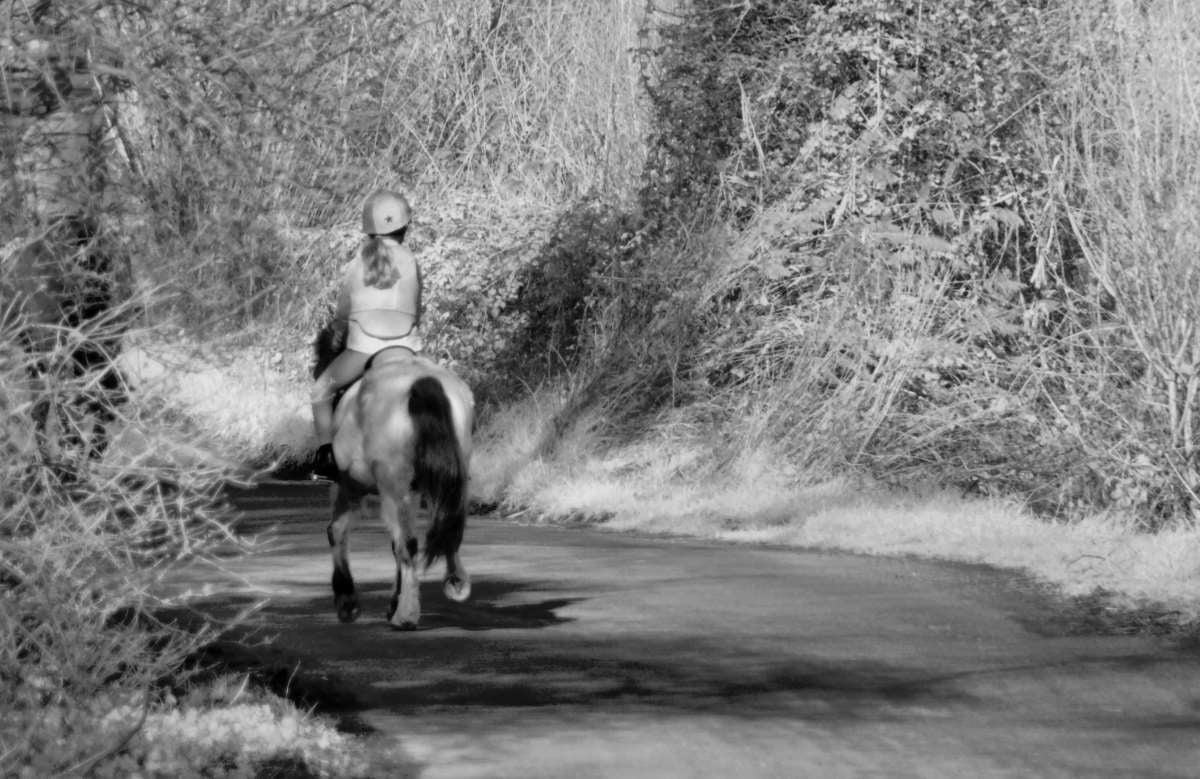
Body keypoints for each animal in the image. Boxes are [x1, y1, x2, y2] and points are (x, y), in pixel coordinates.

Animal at [314, 324, 472, 628]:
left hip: (394, 486)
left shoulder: (348, 486)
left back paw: (406, 616)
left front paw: (347, 602)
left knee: (407, 544)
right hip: (447, 481)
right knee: (445, 526)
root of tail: (422, 382)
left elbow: (336, 530)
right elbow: (392, 542)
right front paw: (390, 602)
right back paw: (454, 583)